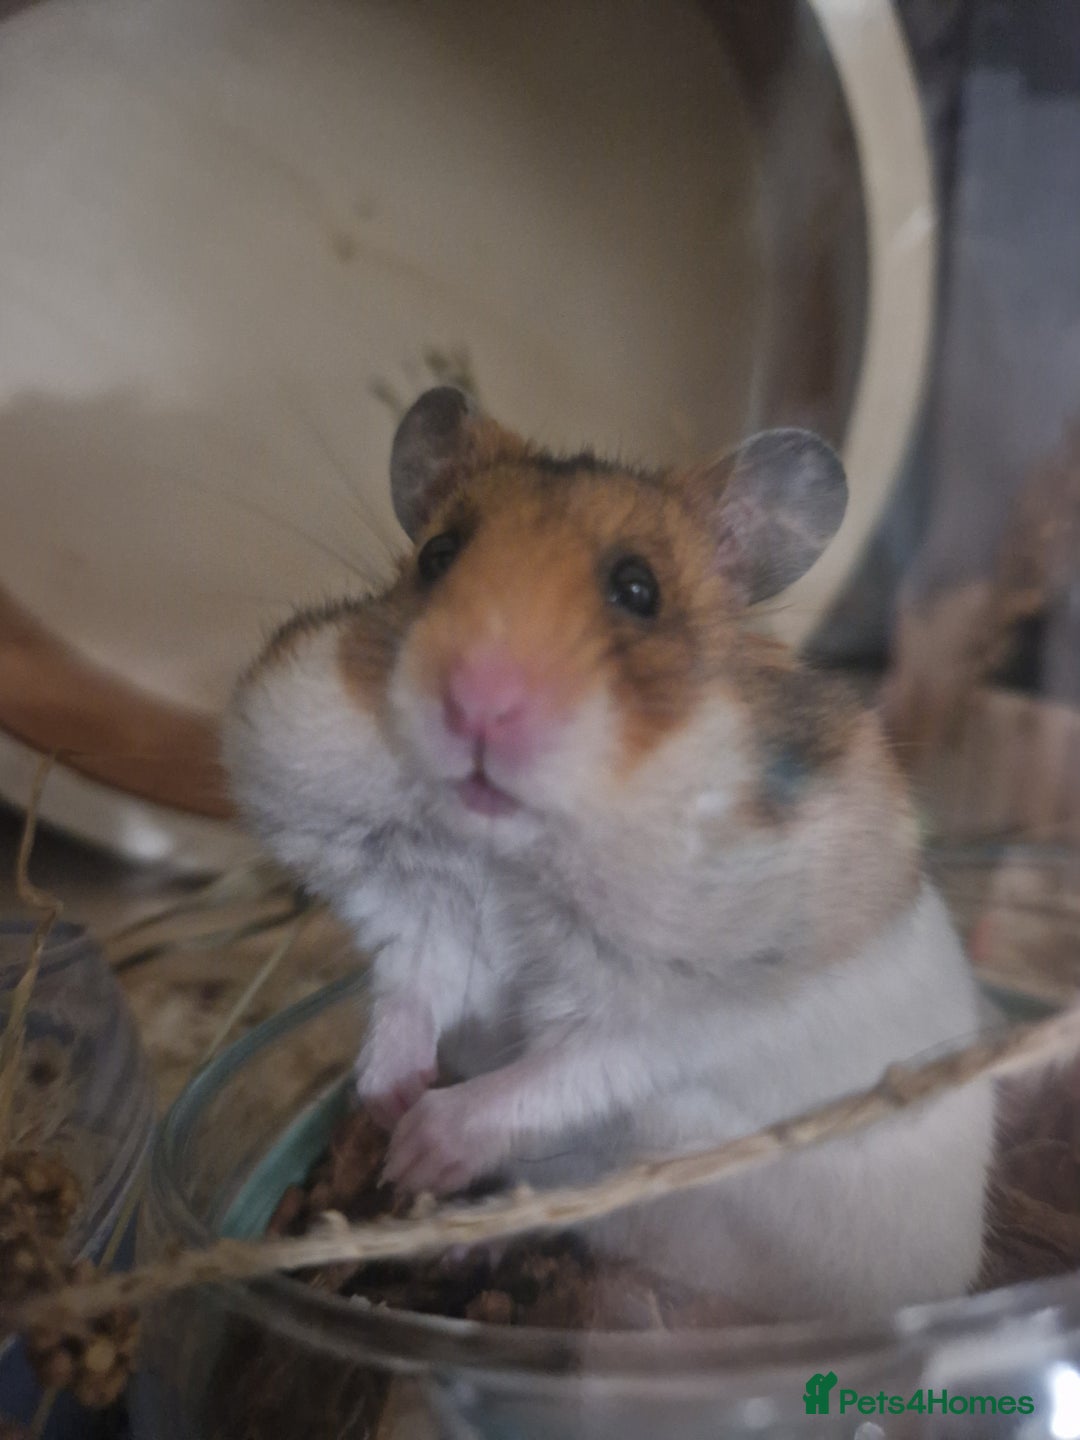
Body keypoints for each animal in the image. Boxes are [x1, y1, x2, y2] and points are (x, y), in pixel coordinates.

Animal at [224, 387, 993, 1322]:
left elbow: (564, 1071)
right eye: (438, 556)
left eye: (639, 590)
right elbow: (410, 991)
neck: (513, 857)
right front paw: (389, 1098)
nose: (478, 706)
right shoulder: (423, 917)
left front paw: (419, 1142)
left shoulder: (680, 1012)